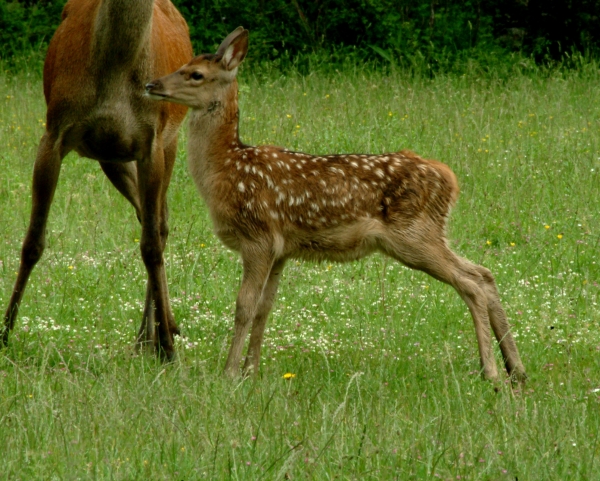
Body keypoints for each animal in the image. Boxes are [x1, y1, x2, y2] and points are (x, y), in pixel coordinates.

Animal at [0, 0, 192, 360]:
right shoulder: (54, 132)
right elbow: (32, 241)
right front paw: (5, 332)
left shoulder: (153, 141)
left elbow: (150, 246)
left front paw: (169, 349)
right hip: (113, 157)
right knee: (150, 217)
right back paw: (151, 334)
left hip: (170, 140)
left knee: (159, 225)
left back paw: (156, 335)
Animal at [144, 29, 524, 382]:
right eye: (183, 65)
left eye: (195, 74)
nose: (151, 84)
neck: (226, 168)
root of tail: (449, 178)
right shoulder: (281, 249)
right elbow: (266, 308)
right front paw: (252, 369)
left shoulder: (257, 237)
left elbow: (244, 306)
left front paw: (230, 372)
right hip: (428, 233)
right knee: (484, 274)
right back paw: (515, 369)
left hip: (413, 235)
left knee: (470, 283)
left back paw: (491, 371)